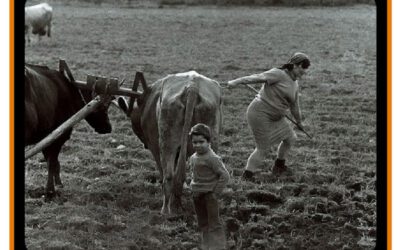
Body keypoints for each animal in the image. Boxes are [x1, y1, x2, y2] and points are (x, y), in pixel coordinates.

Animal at [24, 63, 112, 198]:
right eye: (104, 108)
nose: (108, 127)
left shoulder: (45, 138)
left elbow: (53, 162)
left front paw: (58, 184)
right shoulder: (57, 137)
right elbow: (52, 162)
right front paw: (50, 191)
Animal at [116, 71, 222, 215]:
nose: (144, 144)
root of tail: (192, 87)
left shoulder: (155, 145)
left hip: (167, 141)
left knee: (169, 175)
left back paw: (166, 209)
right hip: (209, 140)